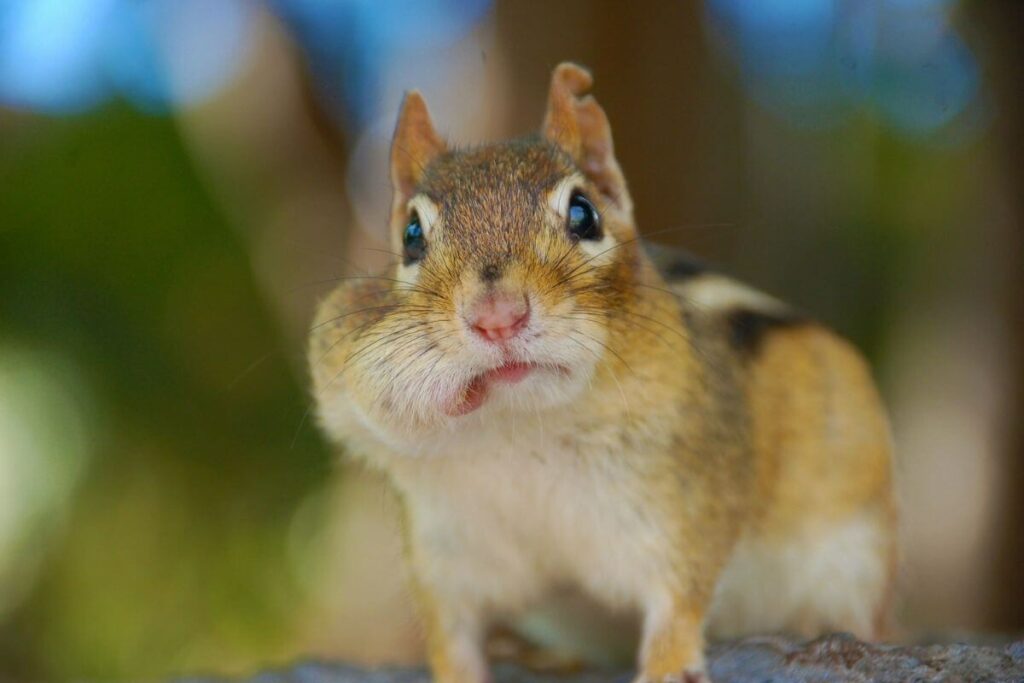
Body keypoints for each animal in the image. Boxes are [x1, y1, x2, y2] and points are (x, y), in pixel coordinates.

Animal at [309, 63, 897, 683]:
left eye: (583, 214)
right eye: (411, 236)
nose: (497, 317)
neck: (520, 433)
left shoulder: (684, 505)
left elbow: (680, 595)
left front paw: (667, 663)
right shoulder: (445, 560)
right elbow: (451, 638)